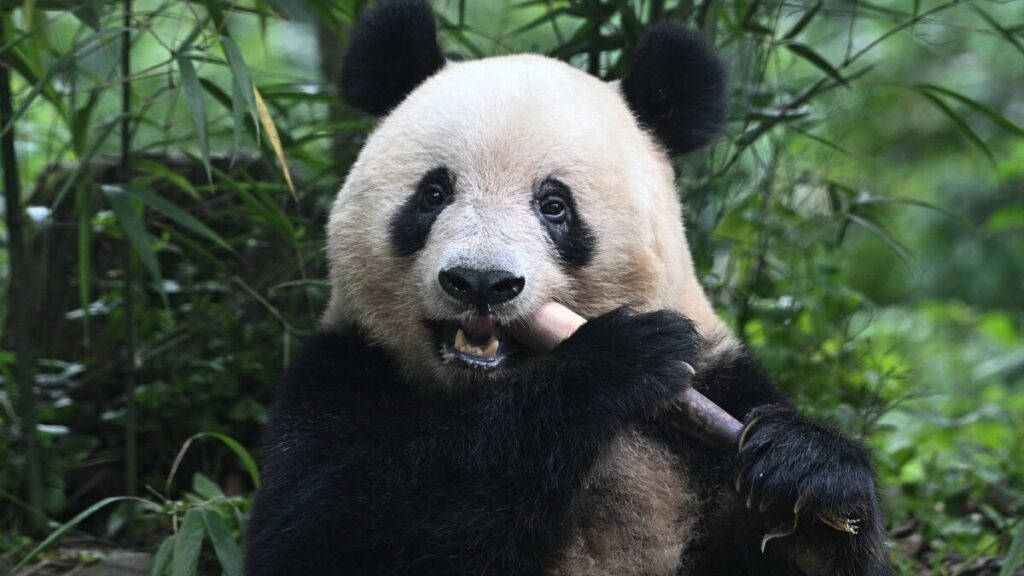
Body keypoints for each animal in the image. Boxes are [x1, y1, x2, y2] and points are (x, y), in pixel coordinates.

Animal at [244, 1, 892, 574]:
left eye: (554, 206)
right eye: (433, 194)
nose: (481, 283)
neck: (490, 385)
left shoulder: (716, 398)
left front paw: (809, 477)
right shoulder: (341, 373)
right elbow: (331, 535)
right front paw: (615, 359)